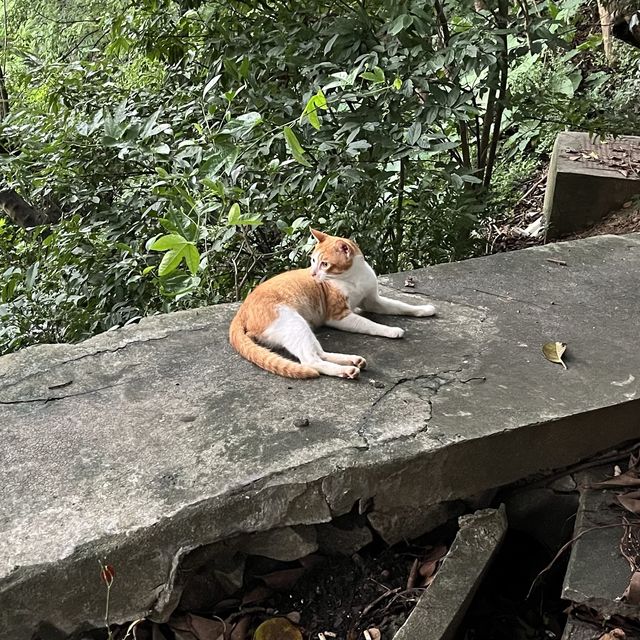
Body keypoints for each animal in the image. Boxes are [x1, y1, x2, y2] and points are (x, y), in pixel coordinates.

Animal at [229, 230, 436, 380]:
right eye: (313, 261)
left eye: (324, 264)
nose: (312, 274)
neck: (355, 278)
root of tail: (241, 311)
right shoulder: (339, 316)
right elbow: (370, 324)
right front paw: (391, 330)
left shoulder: (373, 301)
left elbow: (400, 305)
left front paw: (424, 309)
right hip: (294, 323)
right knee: (310, 361)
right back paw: (345, 371)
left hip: (302, 328)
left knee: (319, 353)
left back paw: (353, 361)